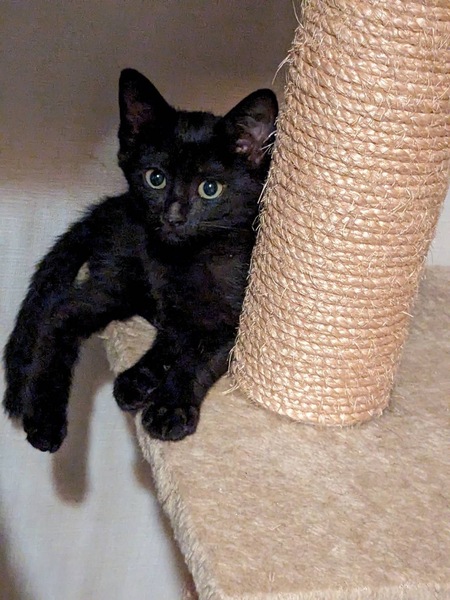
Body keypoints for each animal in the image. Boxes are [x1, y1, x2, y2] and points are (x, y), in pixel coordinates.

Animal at [3, 68, 277, 452]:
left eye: (210, 188)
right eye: (155, 178)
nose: (174, 217)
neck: (186, 261)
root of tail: (113, 206)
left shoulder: (234, 319)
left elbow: (195, 357)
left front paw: (162, 401)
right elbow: (185, 348)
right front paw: (166, 405)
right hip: (121, 276)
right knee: (61, 313)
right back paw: (45, 420)